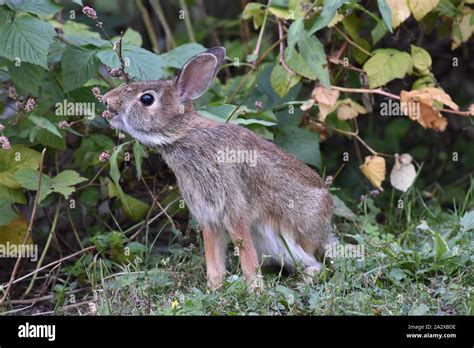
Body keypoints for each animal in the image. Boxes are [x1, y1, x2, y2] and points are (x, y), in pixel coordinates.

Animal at [102, 46, 336, 290]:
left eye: (147, 99)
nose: (106, 101)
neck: (183, 135)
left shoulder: (234, 209)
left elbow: (245, 251)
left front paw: (255, 290)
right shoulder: (207, 217)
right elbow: (213, 255)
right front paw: (214, 287)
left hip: (285, 238)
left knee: (316, 264)